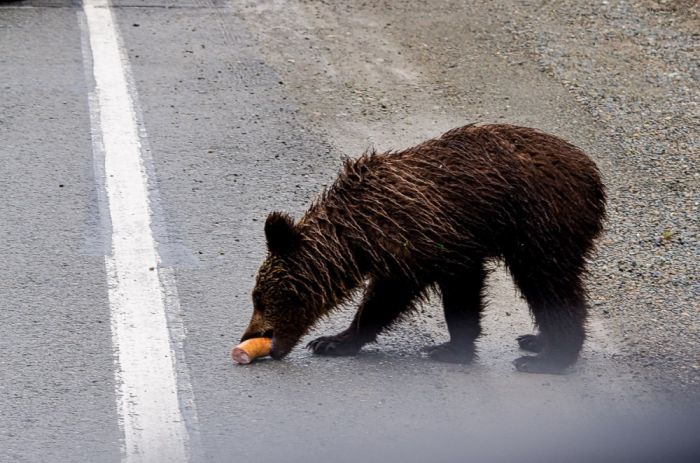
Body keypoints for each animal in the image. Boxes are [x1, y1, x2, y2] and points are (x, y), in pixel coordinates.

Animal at [242, 123, 608, 374]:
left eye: (262, 298)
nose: (253, 334)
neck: (356, 234)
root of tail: (592, 172)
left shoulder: (434, 238)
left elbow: (454, 291)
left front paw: (451, 348)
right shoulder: (404, 255)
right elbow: (384, 301)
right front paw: (333, 341)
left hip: (539, 224)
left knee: (549, 284)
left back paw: (551, 357)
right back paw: (536, 340)